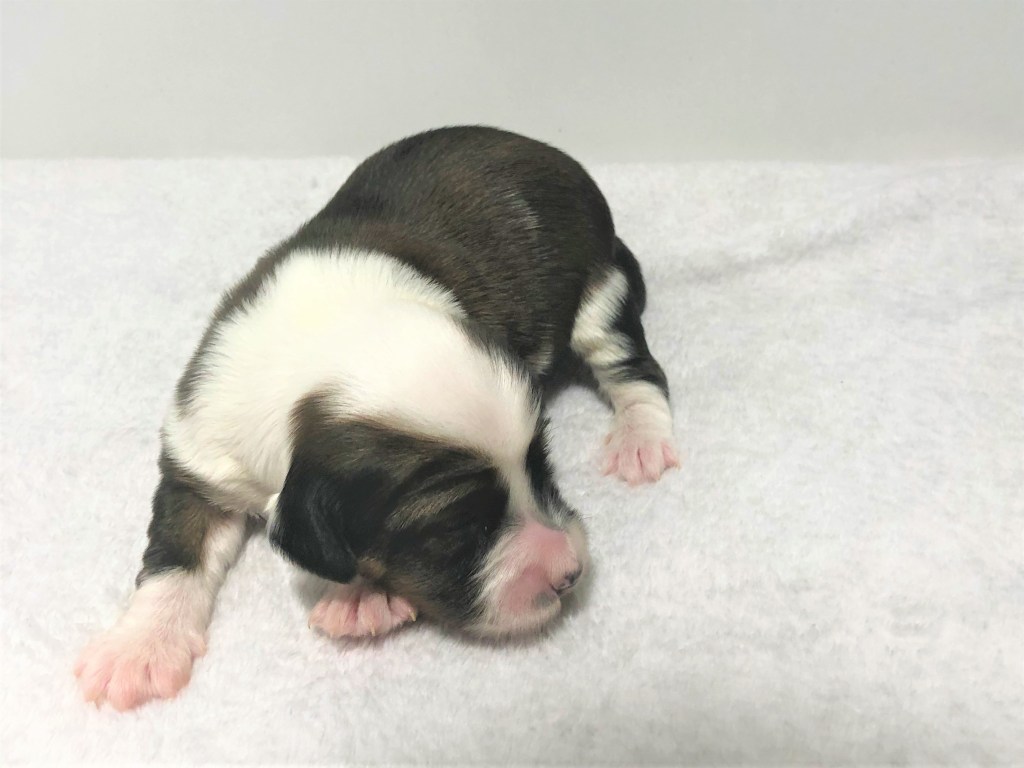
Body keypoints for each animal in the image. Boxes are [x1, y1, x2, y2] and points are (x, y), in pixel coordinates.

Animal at [74, 126, 678, 710]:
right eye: (459, 526)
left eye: (542, 468)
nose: (570, 574)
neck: (323, 341)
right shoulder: (200, 456)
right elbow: (175, 551)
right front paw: (138, 651)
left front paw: (360, 599)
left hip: (598, 294)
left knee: (636, 370)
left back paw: (641, 440)